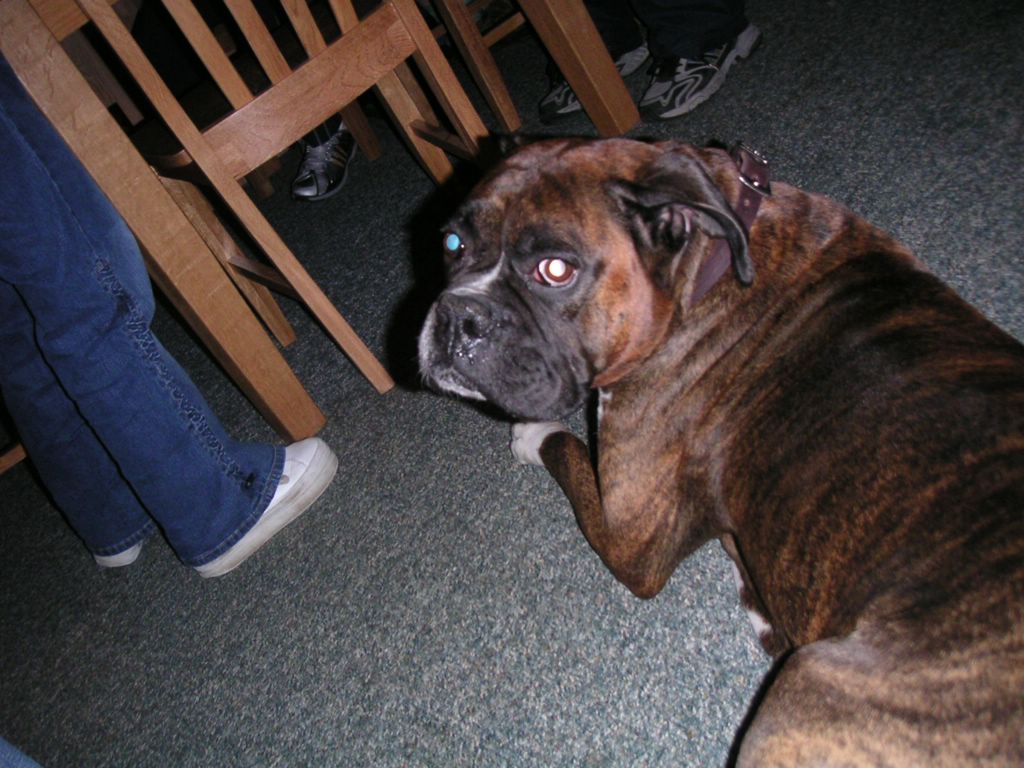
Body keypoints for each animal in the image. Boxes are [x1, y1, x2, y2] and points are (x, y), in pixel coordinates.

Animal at [418, 138, 1024, 766]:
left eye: (555, 270)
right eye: (452, 244)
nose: (458, 315)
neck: (708, 270)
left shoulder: (630, 541)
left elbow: (566, 449)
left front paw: (531, 434)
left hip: (805, 692)